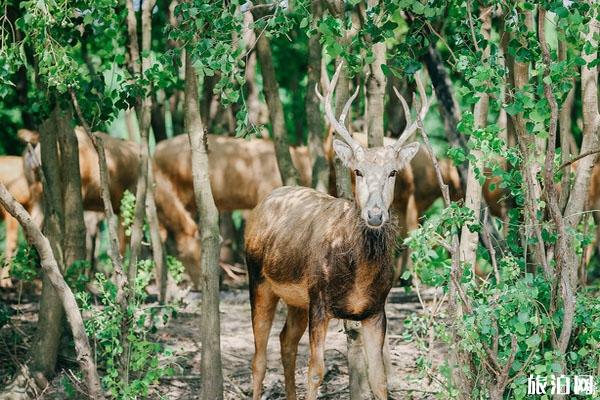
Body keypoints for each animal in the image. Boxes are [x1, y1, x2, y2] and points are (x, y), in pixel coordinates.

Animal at [244, 63, 426, 400]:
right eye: (358, 171)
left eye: (393, 172)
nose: (375, 214)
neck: (357, 276)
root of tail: (264, 201)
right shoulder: (319, 299)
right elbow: (316, 371)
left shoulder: (375, 309)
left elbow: (379, 378)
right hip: (258, 278)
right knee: (259, 358)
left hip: (295, 300)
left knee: (285, 341)